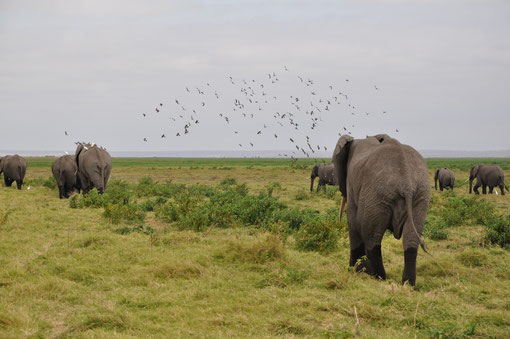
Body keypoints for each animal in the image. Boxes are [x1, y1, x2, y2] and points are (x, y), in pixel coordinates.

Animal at [332, 134, 428, 286]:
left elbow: (352, 221)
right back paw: (408, 284)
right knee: (411, 239)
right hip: (420, 195)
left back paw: (379, 277)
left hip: (377, 195)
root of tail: (406, 183)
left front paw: (352, 271)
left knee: (371, 237)